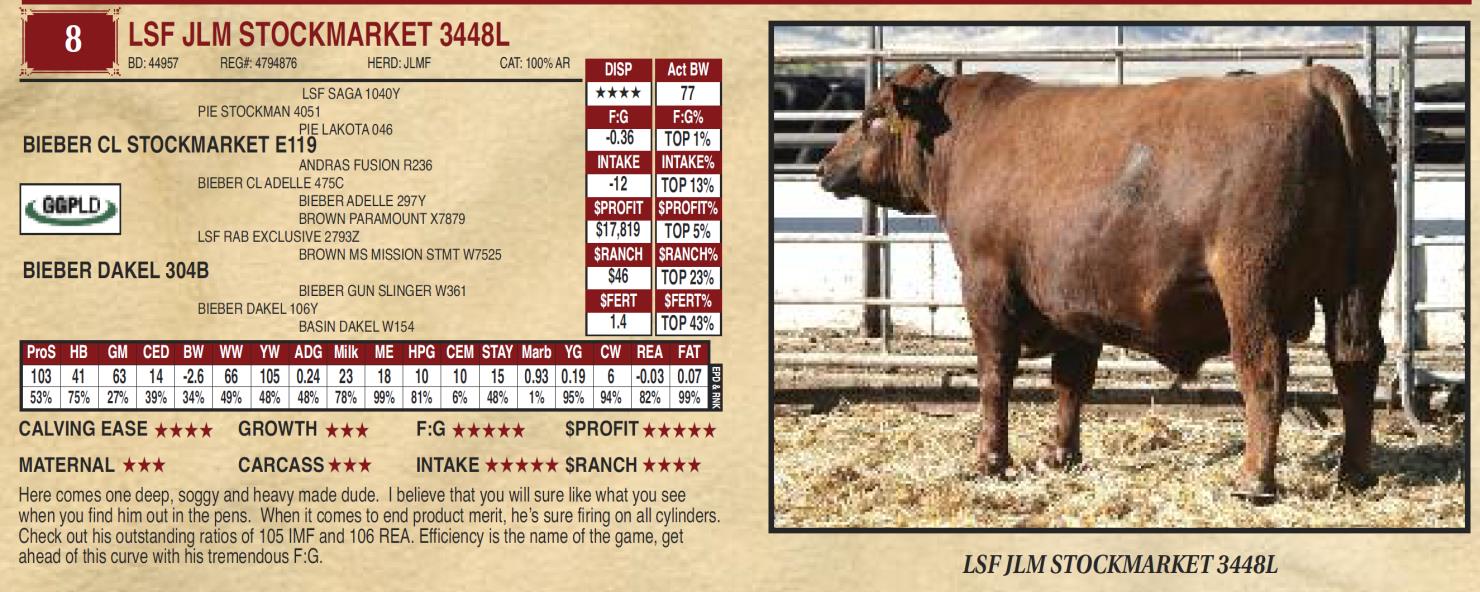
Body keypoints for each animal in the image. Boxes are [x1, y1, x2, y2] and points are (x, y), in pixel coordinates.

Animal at [816, 64, 1395, 501]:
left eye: (871, 116)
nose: (823, 166)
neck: (963, 139)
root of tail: (1316, 80)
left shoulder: (986, 281)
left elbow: (995, 376)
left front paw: (990, 460)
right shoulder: (1074, 299)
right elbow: (1070, 380)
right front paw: (1059, 455)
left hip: (1251, 286)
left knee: (1264, 372)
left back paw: (1254, 479)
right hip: (1361, 283)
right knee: (1356, 363)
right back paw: (1355, 473)